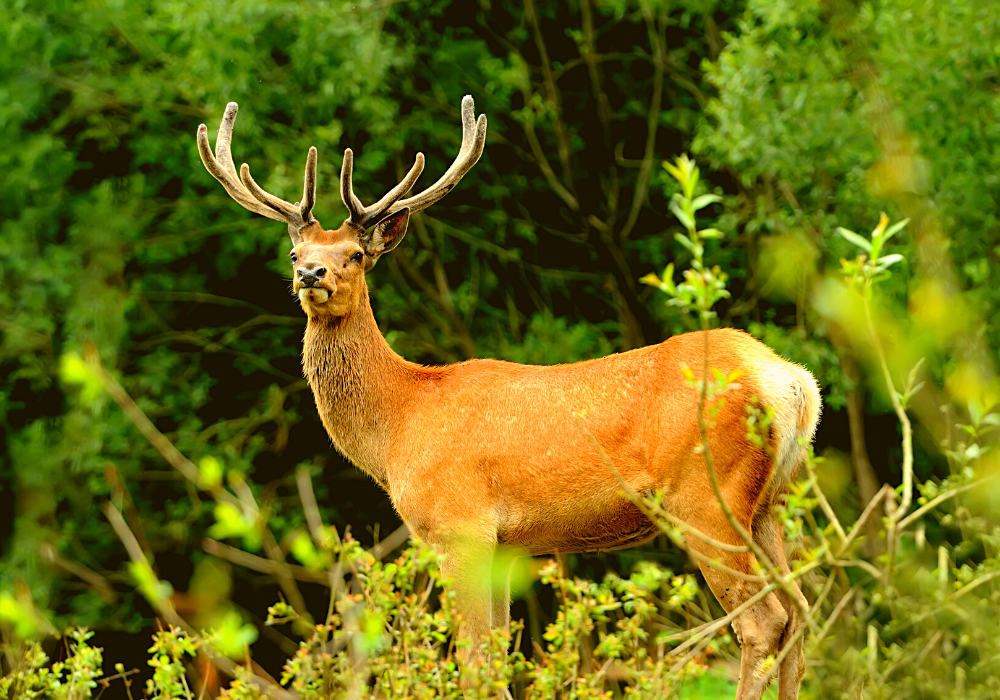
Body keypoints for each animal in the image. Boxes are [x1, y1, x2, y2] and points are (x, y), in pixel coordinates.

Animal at [195, 94, 820, 700]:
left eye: (355, 253)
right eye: (295, 254)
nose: (312, 275)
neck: (398, 423)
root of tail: (788, 379)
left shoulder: (459, 524)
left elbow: (474, 663)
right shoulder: (504, 545)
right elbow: (498, 661)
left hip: (705, 495)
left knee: (764, 621)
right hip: (770, 502)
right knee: (799, 611)